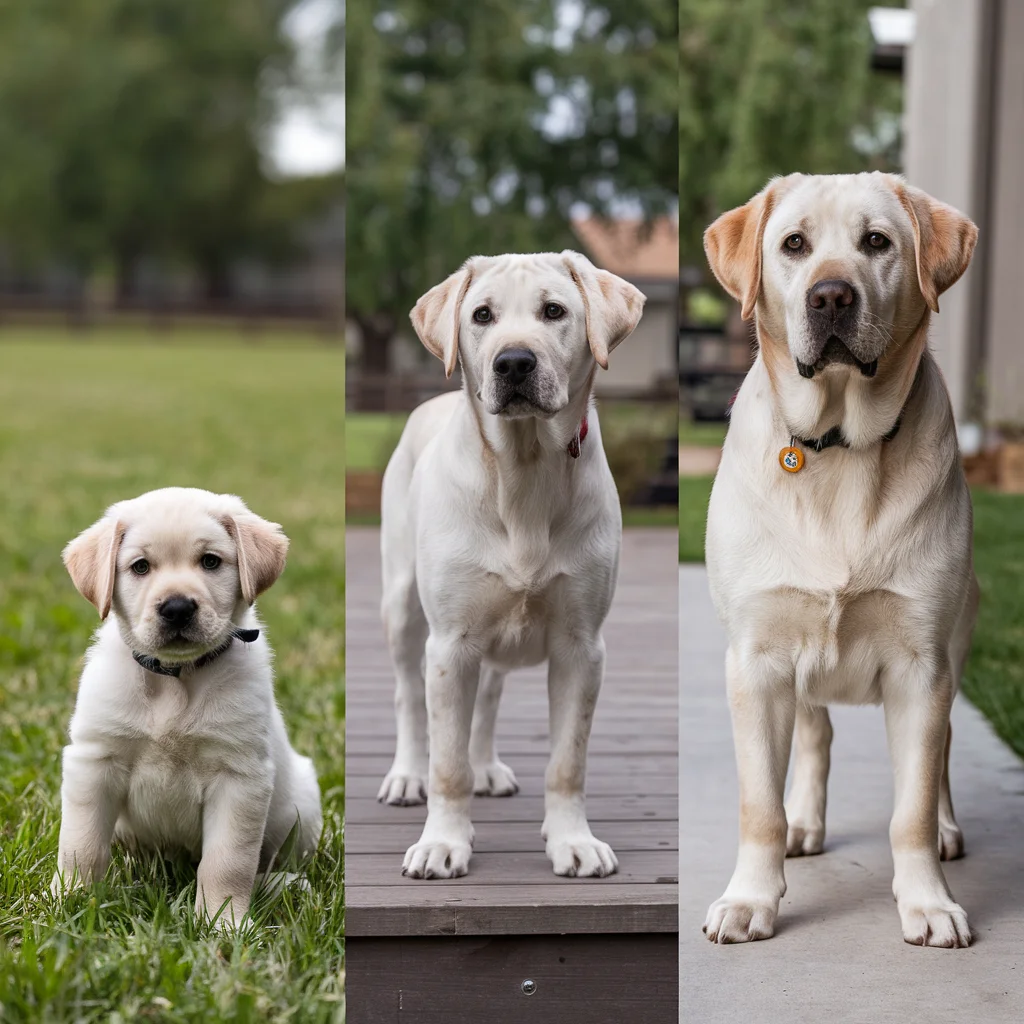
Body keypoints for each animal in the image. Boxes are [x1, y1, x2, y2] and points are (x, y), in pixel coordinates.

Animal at [51, 487, 321, 929]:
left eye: (210, 561)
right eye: (140, 567)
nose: (177, 608)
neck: (174, 680)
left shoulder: (239, 777)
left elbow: (227, 861)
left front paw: (223, 923)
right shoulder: (94, 761)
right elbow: (81, 845)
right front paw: (67, 902)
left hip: (300, 807)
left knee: (269, 862)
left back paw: (284, 884)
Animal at [378, 249, 647, 880]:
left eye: (554, 311)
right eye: (482, 315)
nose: (514, 362)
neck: (522, 469)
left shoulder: (581, 646)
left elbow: (567, 761)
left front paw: (572, 840)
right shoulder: (450, 644)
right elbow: (446, 762)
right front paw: (442, 843)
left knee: (489, 696)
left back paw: (487, 767)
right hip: (402, 606)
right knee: (408, 695)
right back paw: (406, 775)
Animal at [704, 172, 974, 946]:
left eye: (876, 242)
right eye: (794, 245)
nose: (830, 296)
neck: (839, 446)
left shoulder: (921, 665)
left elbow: (911, 806)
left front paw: (928, 903)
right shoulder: (757, 660)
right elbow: (758, 805)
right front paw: (750, 899)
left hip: (958, 642)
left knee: (944, 753)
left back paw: (949, 830)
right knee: (815, 731)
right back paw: (804, 821)